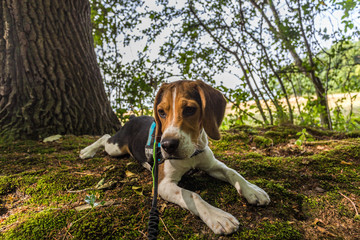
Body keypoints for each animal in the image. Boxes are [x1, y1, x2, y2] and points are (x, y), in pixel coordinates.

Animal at [79, 80, 270, 234]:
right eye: (161, 112)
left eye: (190, 110)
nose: (167, 145)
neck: (191, 153)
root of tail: (133, 117)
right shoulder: (163, 184)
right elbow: (193, 195)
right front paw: (218, 216)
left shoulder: (212, 165)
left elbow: (233, 172)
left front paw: (252, 190)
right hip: (116, 147)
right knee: (105, 137)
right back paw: (86, 151)